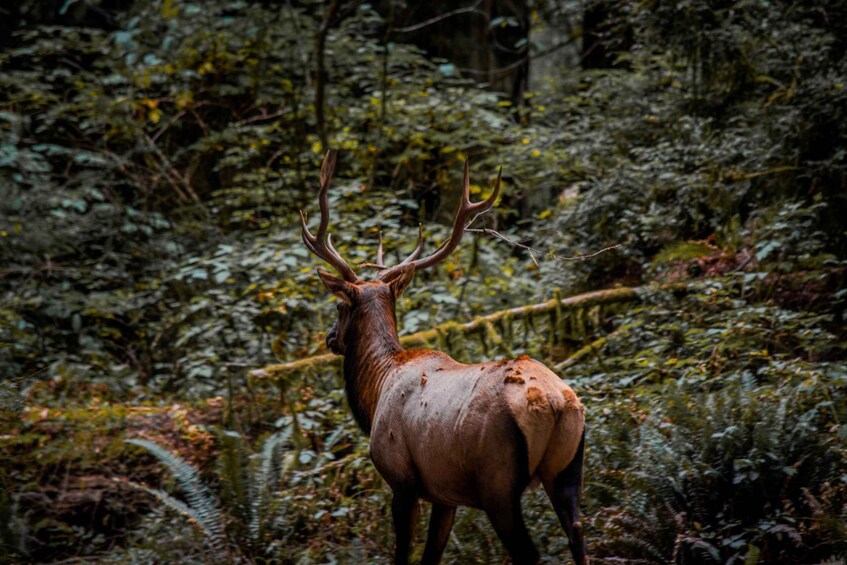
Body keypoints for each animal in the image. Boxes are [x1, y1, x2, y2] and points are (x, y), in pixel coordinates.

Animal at [300, 151, 587, 565]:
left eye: (339, 305)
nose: (329, 338)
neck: (376, 390)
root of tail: (554, 403)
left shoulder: (401, 480)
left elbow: (403, 553)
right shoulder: (445, 495)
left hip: (497, 481)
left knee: (529, 552)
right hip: (567, 468)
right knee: (578, 532)